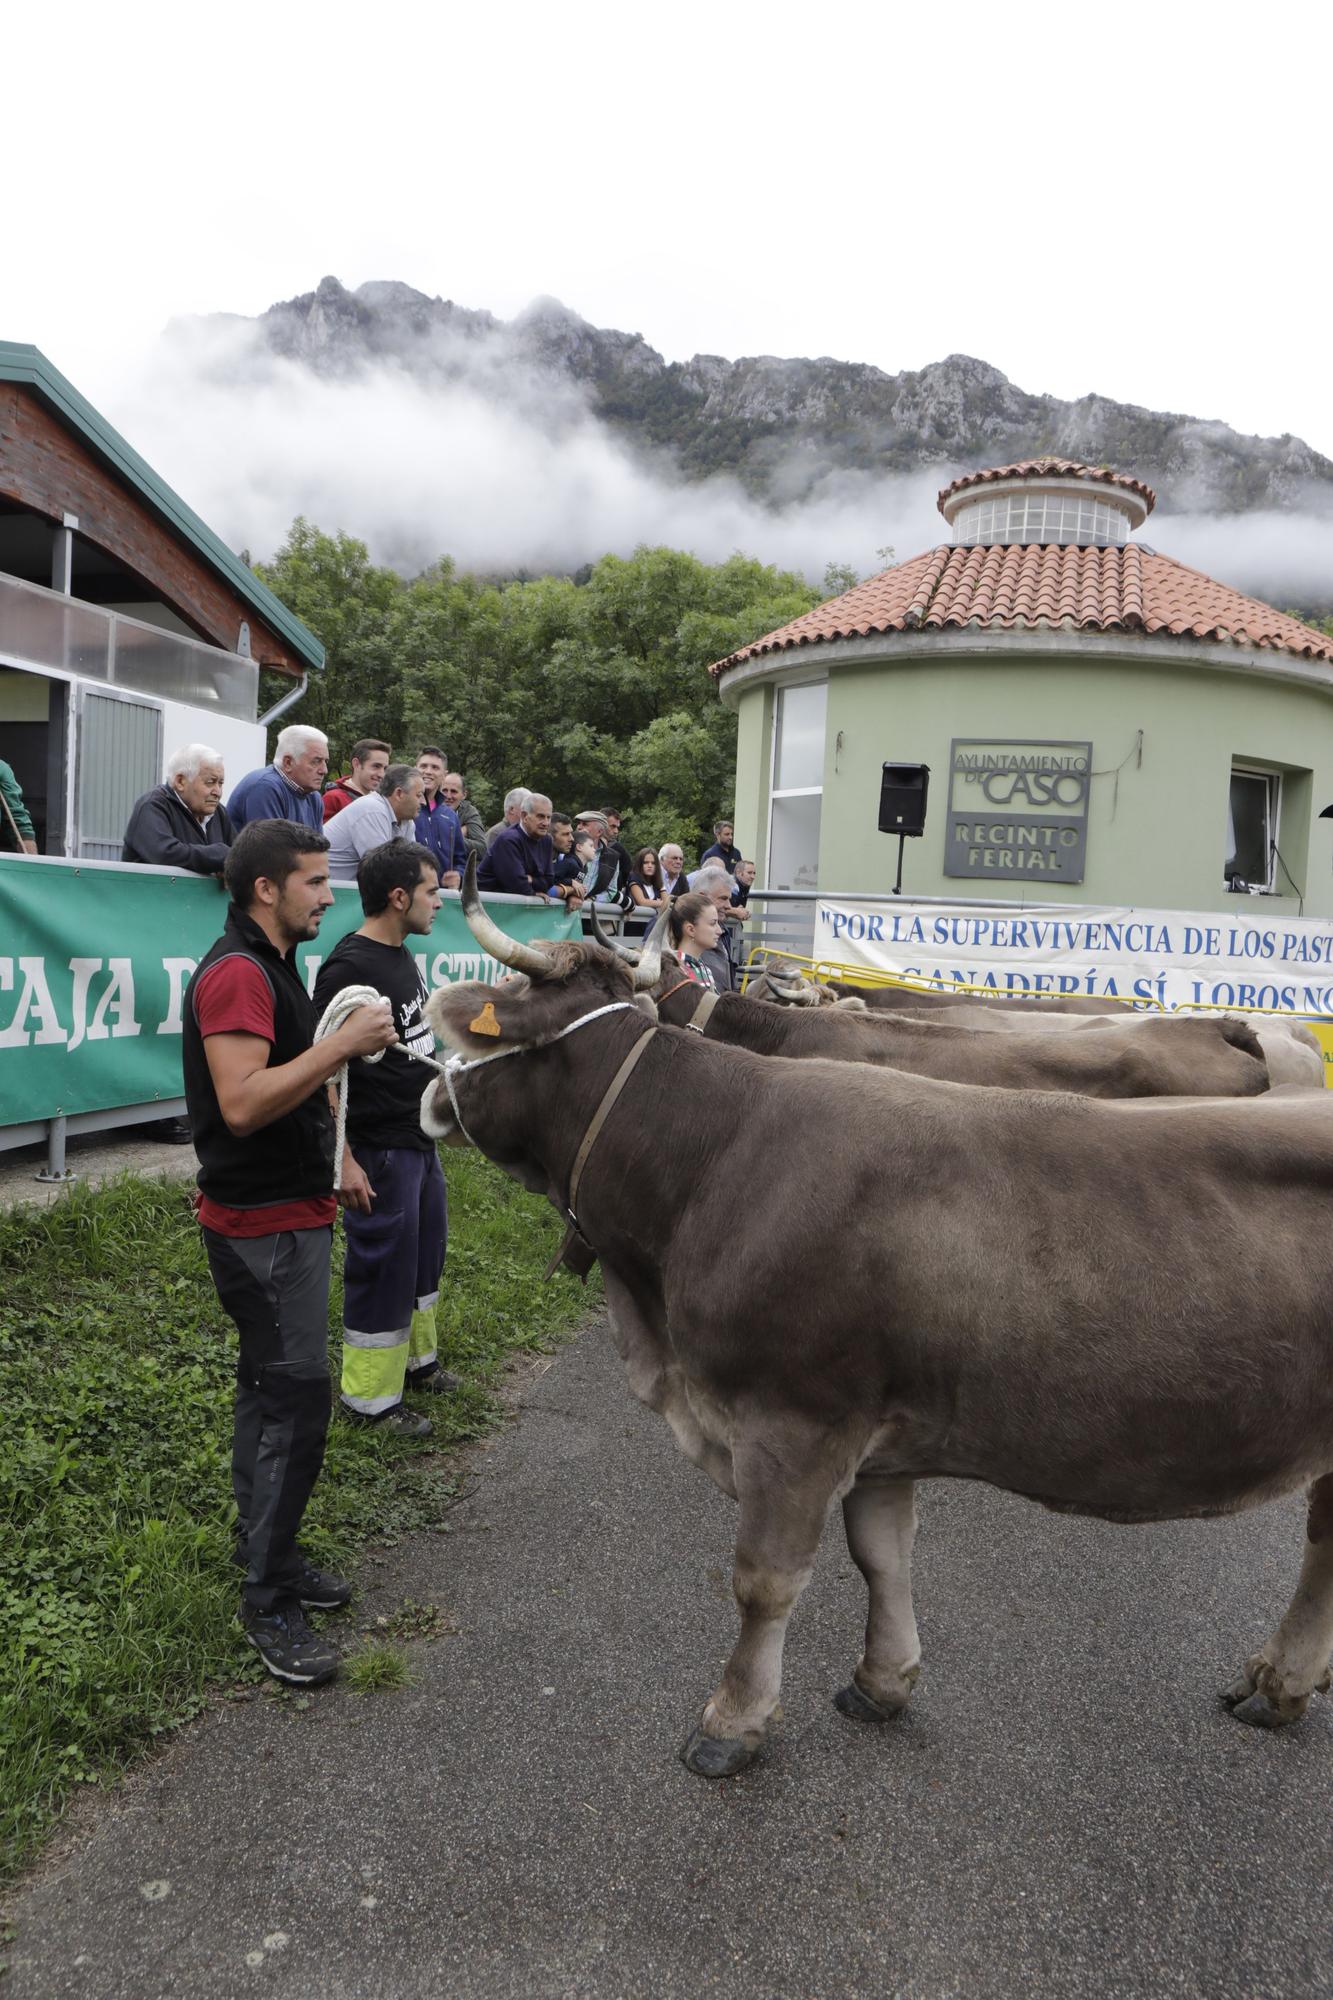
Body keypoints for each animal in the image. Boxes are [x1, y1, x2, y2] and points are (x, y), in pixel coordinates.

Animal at [420, 868, 1328, 1776]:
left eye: (484, 1018)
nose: (426, 1092)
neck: (712, 1160)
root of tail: (1231, 1024)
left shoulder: (795, 1420)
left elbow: (764, 1582)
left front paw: (731, 1721)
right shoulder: (878, 1427)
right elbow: (880, 1555)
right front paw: (881, 1682)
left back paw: (1280, 1679)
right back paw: (1278, 1683)